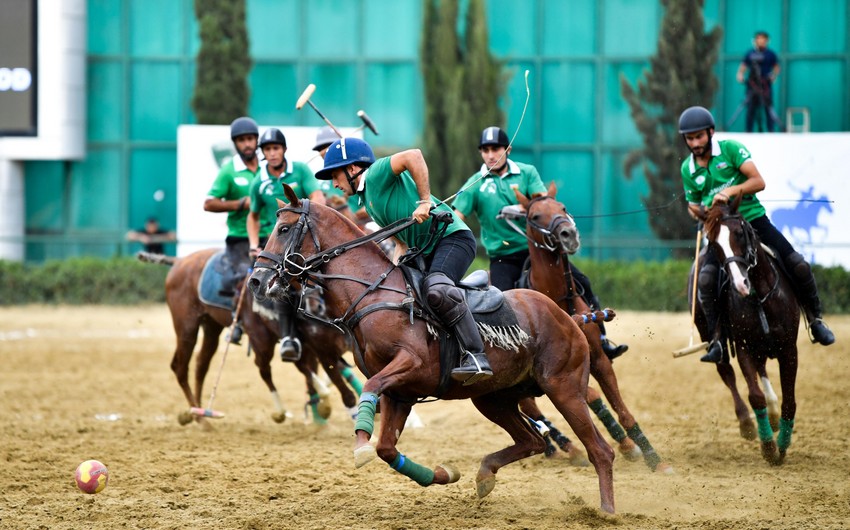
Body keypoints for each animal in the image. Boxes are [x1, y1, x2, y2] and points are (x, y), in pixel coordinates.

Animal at [138, 248, 362, 424]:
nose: (315, 306)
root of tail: (180, 261)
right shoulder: (321, 350)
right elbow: (338, 384)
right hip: (189, 326)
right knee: (182, 366)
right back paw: (202, 418)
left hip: (212, 326)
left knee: (202, 364)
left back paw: (200, 413)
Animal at [248, 185, 612, 512]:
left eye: (283, 229)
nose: (256, 281)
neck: (372, 293)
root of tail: (567, 316)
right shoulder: (401, 393)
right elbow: (387, 449)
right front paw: (444, 473)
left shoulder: (411, 362)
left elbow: (369, 388)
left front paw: (360, 442)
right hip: (494, 399)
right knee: (532, 440)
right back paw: (485, 475)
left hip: (564, 387)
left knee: (599, 449)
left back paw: (606, 510)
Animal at [512, 184, 672, 472]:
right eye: (535, 216)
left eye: (562, 207)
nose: (569, 234)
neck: (557, 297)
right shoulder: (562, 371)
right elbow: (593, 396)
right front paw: (628, 446)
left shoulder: (598, 358)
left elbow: (622, 409)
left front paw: (650, 455)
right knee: (530, 407)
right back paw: (564, 446)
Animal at [692, 198, 800, 462]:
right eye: (714, 243)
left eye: (740, 234)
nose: (740, 284)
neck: (759, 296)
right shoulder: (744, 348)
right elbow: (754, 395)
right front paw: (769, 447)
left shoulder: (789, 349)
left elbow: (789, 399)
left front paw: (783, 443)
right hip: (710, 336)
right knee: (726, 372)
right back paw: (747, 423)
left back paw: (774, 416)